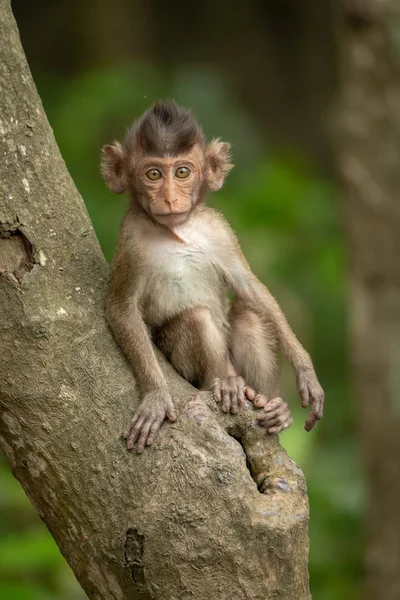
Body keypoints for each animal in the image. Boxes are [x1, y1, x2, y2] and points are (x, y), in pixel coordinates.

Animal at [101, 101, 324, 452]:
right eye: (153, 174)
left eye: (182, 172)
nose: (169, 197)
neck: (178, 232)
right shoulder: (130, 240)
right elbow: (121, 308)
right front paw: (156, 396)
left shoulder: (220, 229)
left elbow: (251, 289)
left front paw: (306, 370)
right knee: (195, 317)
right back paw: (222, 383)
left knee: (249, 316)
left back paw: (273, 407)